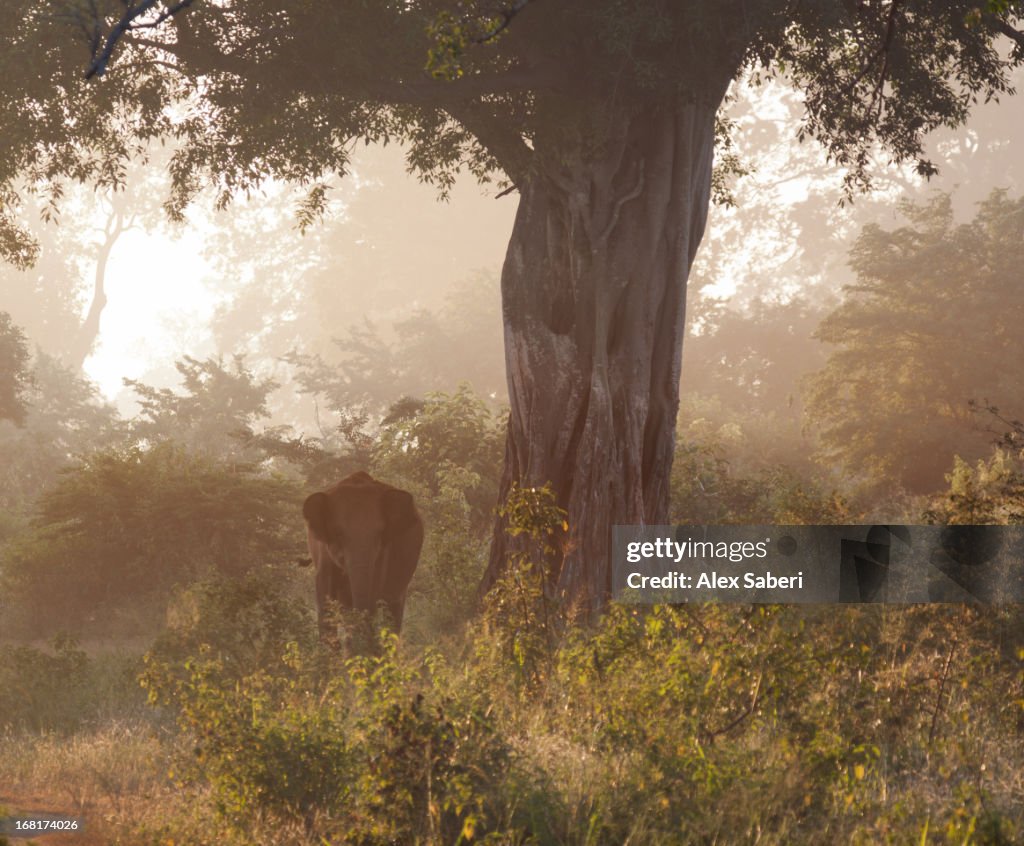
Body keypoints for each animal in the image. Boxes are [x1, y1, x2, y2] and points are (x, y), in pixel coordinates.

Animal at [299, 469, 423, 639]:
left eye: (380, 534)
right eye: (338, 534)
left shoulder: (382, 554)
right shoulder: (322, 553)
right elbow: (325, 596)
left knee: (393, 609)